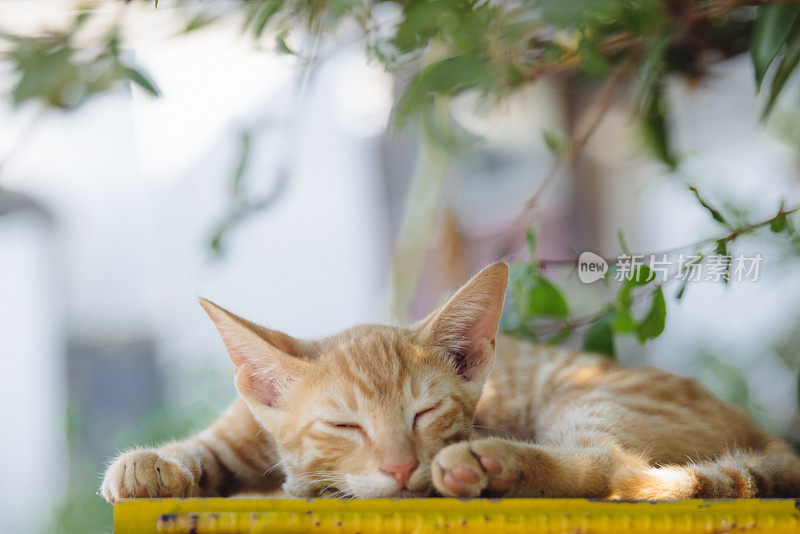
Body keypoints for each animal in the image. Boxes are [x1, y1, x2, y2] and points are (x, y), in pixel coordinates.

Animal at [100, 264, 800, 502]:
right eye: (344, 424)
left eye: (424, 413)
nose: (402, 467)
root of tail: (766, 435)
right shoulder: (240, 427)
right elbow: (204, 447)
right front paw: (148, 466)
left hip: (590, 399)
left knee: (618, 469)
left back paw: (489, 464)